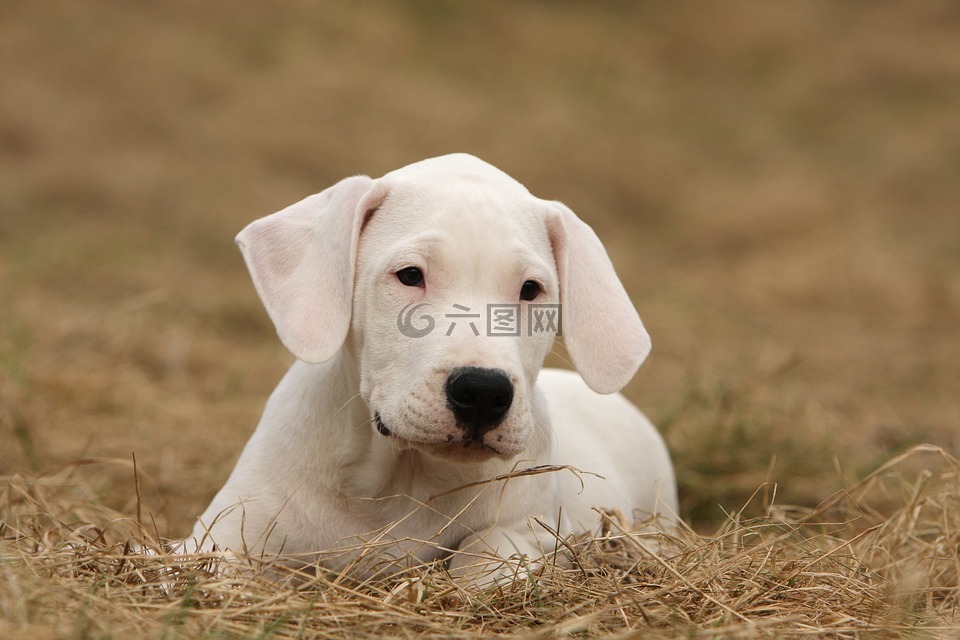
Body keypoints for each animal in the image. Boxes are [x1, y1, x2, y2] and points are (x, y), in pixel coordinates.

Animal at [186, 152, 676, 584]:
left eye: (531, 289)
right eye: (410, 275)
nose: (483, 392)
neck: (402, 480)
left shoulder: (532, 529)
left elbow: (487, 550)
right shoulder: (223, 532)